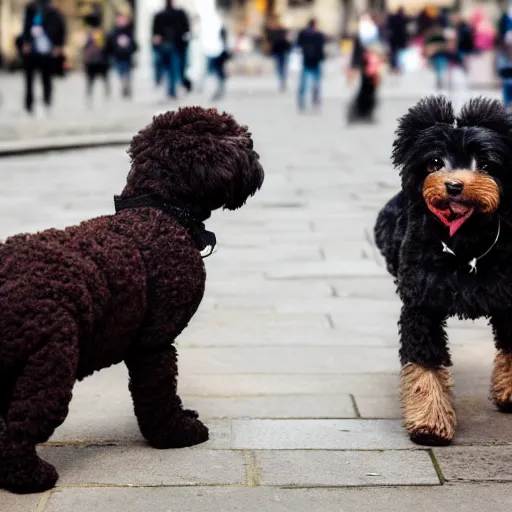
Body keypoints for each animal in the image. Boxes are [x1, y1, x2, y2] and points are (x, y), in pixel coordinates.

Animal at [0, 106, 264, 494]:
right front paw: (176, 433)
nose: (257, 161)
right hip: (51, 361)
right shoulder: (155, 343)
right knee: (19, 429)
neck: (159, 210)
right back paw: (31, 476)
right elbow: (159, 392)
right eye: (241, 138)